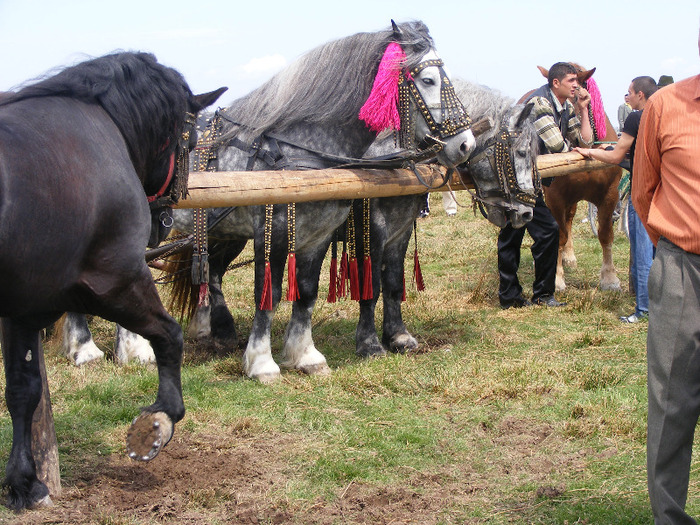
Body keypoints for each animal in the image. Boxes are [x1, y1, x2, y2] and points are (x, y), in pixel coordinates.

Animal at [0, 53, 224, 508]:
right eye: (191, 143)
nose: (163, 223)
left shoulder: (24, 308)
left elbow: (22, 390)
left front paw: (24, 481)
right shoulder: (114, 282)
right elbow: (169, 335)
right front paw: (161, 418)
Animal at [516, 64, 620, 290]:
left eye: (582, 96)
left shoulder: (610, 194)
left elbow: (606, 235)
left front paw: (610, 277)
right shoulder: (555, 198)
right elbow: (559, 236)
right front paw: (556, 278)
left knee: (570, 219)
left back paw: (569, 256)